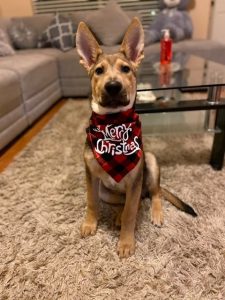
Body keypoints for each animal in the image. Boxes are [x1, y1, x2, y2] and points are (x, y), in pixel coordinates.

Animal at [76, 18, 197, 258]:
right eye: (98, 71)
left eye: (126, 69)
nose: (113, 86)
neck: (113, 124)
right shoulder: (91, 176)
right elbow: (92, 202)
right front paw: (90, 223)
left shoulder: (134, 180)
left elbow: (131, 213)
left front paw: (125, 242)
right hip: (107, 191)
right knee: (131, 200)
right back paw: (116, 215)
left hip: (150, 161)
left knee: (152, 195)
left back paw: (154, 213)